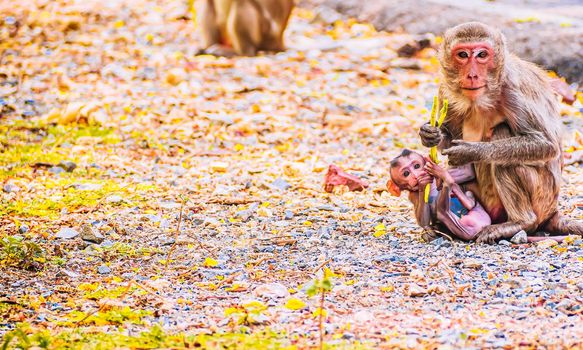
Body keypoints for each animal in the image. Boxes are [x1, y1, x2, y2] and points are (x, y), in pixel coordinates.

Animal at [420, 22, 583, 243]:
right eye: (462, 55)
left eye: (482, 55)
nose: (472, 75)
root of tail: (552, 212)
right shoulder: (445, 89)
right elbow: (447, 136)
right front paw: (430, 135)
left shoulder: (511, 88)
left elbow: (546, 144)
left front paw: (470, 152)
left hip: (542, 197)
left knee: (503, 140)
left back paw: (520, 222)